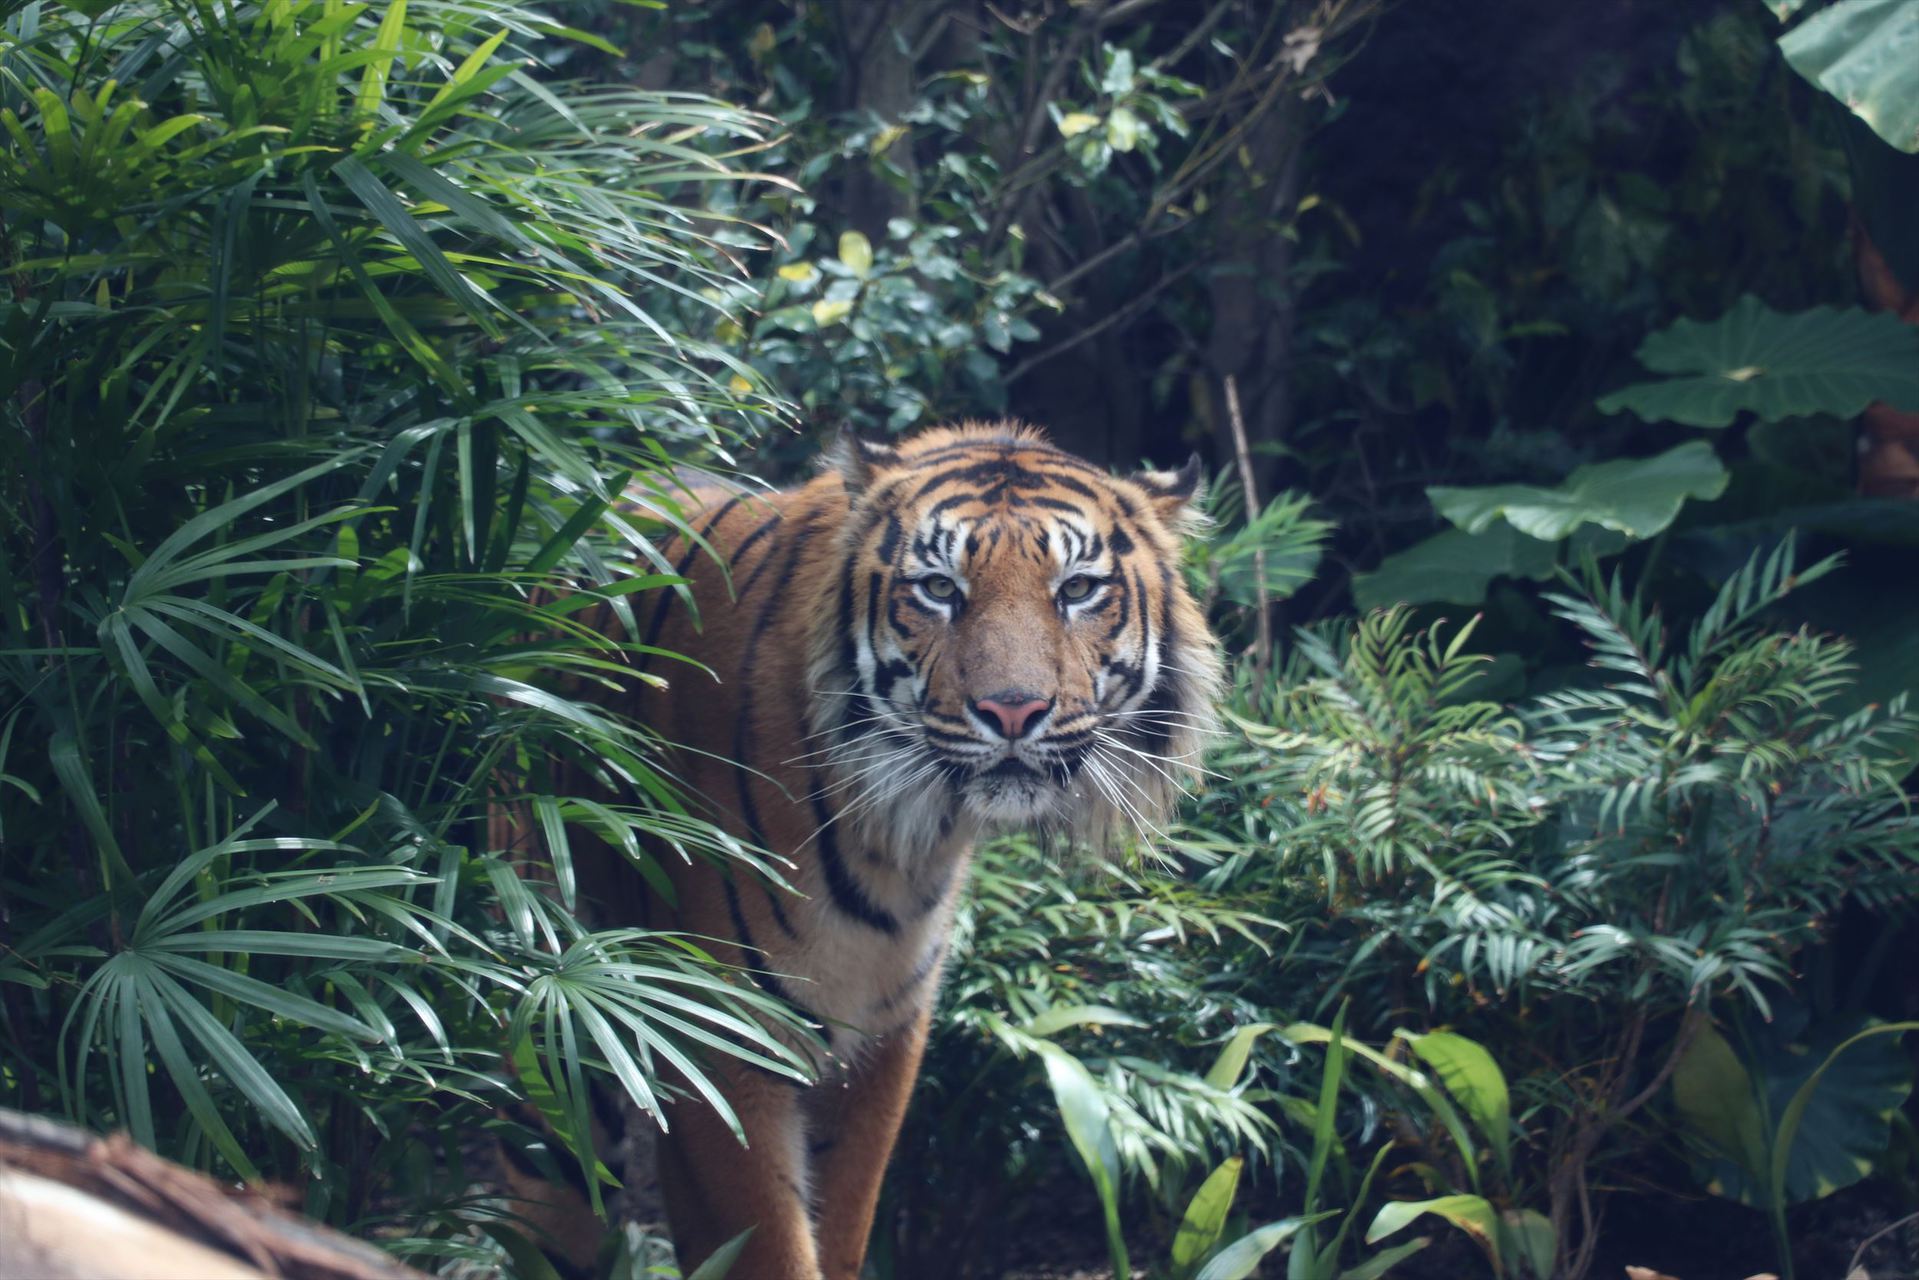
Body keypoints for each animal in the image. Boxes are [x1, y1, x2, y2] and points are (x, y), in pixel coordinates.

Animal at [518, 422, 1220, 1280]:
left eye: (1078, 589)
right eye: (939, 588)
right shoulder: (714, 1037)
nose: (1012, 711)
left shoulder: (882, 1038)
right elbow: (766, 1245)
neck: (902, 843)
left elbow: (842, 1224)